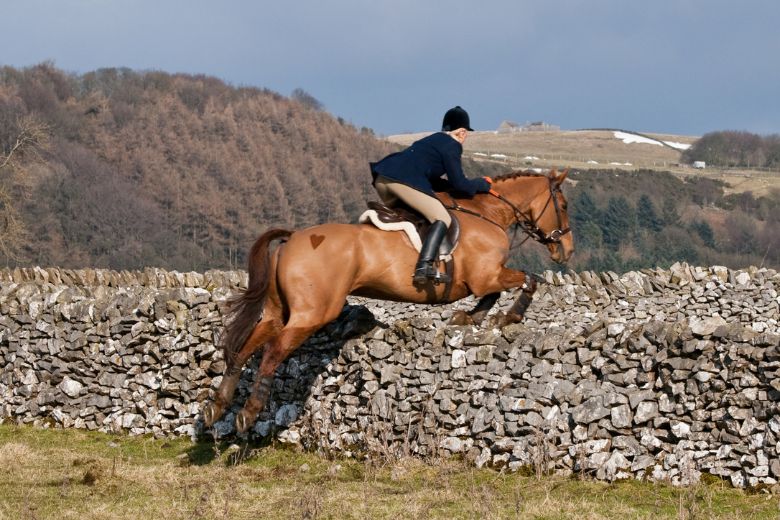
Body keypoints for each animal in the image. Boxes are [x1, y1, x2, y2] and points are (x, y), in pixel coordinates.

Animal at [202, 168, 574, 433]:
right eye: (564, 206)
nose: (566, 252)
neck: (488, 212)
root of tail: (292, 238)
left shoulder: (484, 278)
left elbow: (496, 292)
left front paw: (470, 318)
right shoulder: (486, 274)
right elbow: (527, 279)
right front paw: (508, 317)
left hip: (279, 311)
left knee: (245, 347)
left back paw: (216, 406)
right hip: (313, 313)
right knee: (273, 351)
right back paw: (248, 413)